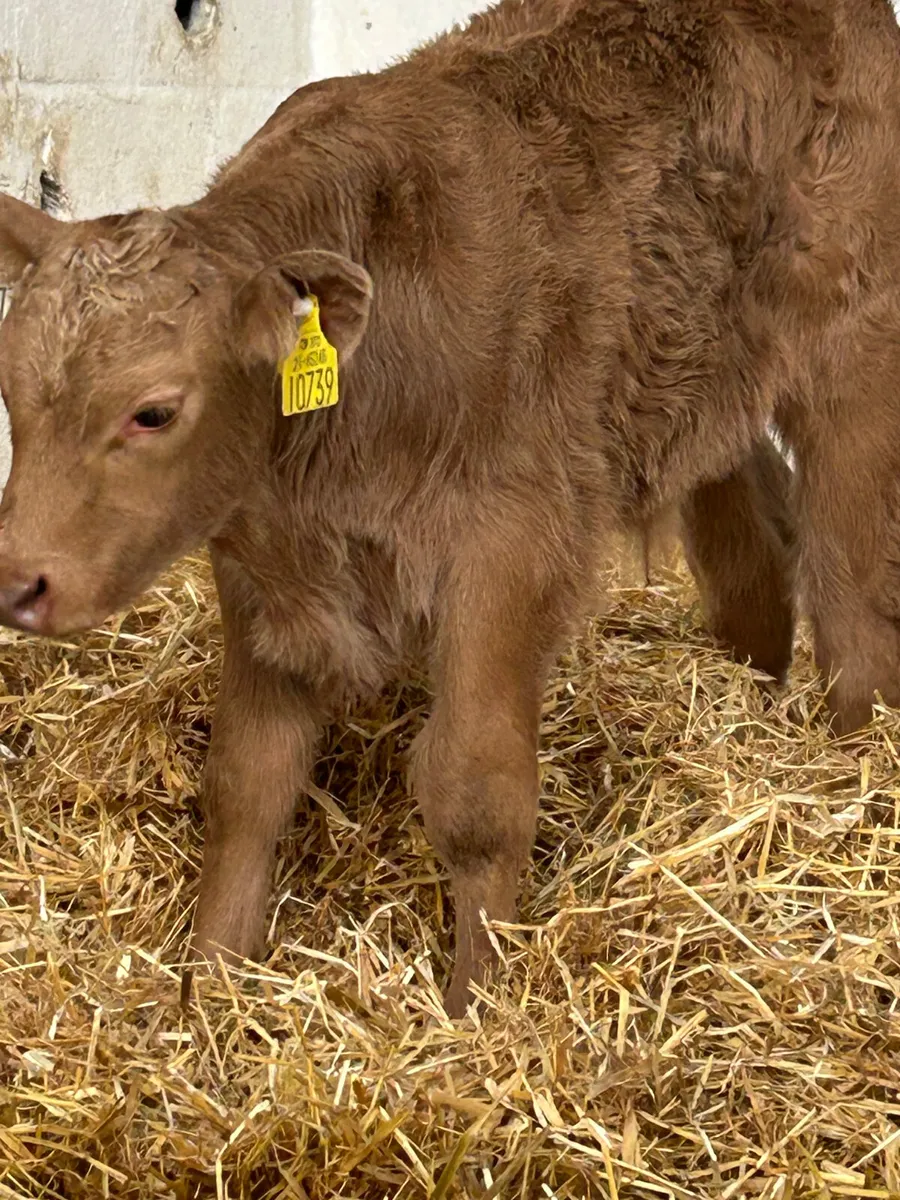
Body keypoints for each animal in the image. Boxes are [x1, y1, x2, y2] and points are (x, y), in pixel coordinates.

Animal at [0, 0, 898, 1014]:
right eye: (10, 390)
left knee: (853, 600)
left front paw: (480, 1005)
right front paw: (212, 986)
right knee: (752, 566)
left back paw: (848, 774)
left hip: (855, 357)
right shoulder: (270, 571)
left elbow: (474, 789)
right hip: (701, 386)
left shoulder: (511, 541)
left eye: (153, 411)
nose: (19, 582)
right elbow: (244, 783)